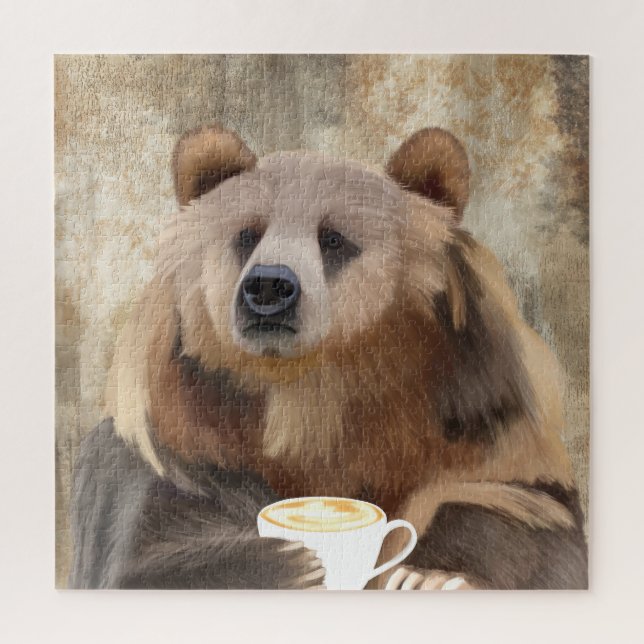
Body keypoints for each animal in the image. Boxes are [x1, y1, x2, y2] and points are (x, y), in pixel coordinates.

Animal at [69, 124, 587, 590]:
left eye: (333, 238)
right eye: (247, 234)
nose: (268, 286)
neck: (311, 390)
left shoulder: (478, 422)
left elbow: (524, 508)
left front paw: (425, 573)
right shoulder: (177, 446)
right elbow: (144, 548)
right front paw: (290, 561)